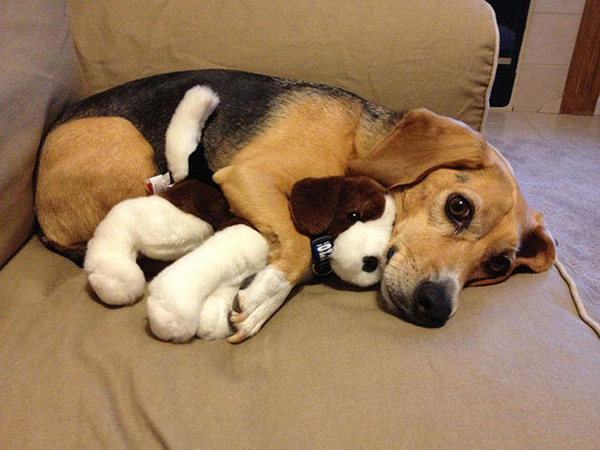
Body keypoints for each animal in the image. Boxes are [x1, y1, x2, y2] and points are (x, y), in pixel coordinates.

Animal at [35, 68, 556, 342]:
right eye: (459, 207)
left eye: (497, 264)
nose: (436, 309)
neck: (360, 143)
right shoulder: (246, 177)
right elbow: (301, 246)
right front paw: (264, 294)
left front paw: (260, 298)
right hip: (128, 141)